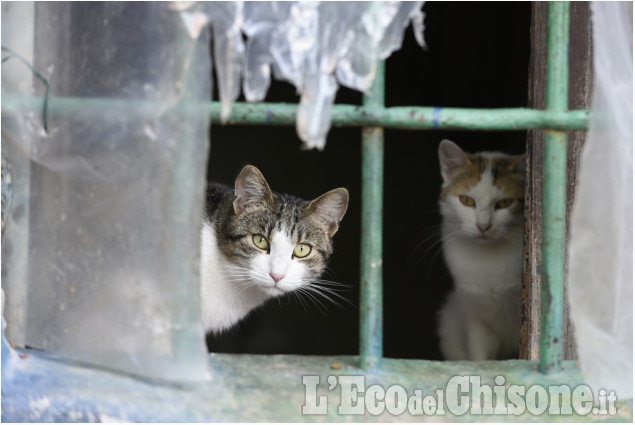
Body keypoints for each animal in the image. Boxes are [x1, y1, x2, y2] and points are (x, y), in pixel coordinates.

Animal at [438, 141, 528, 360]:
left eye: (504, 203)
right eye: (466, 200)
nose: (483, 226)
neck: (488, 257)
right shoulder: (474, 314)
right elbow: (480, 353)